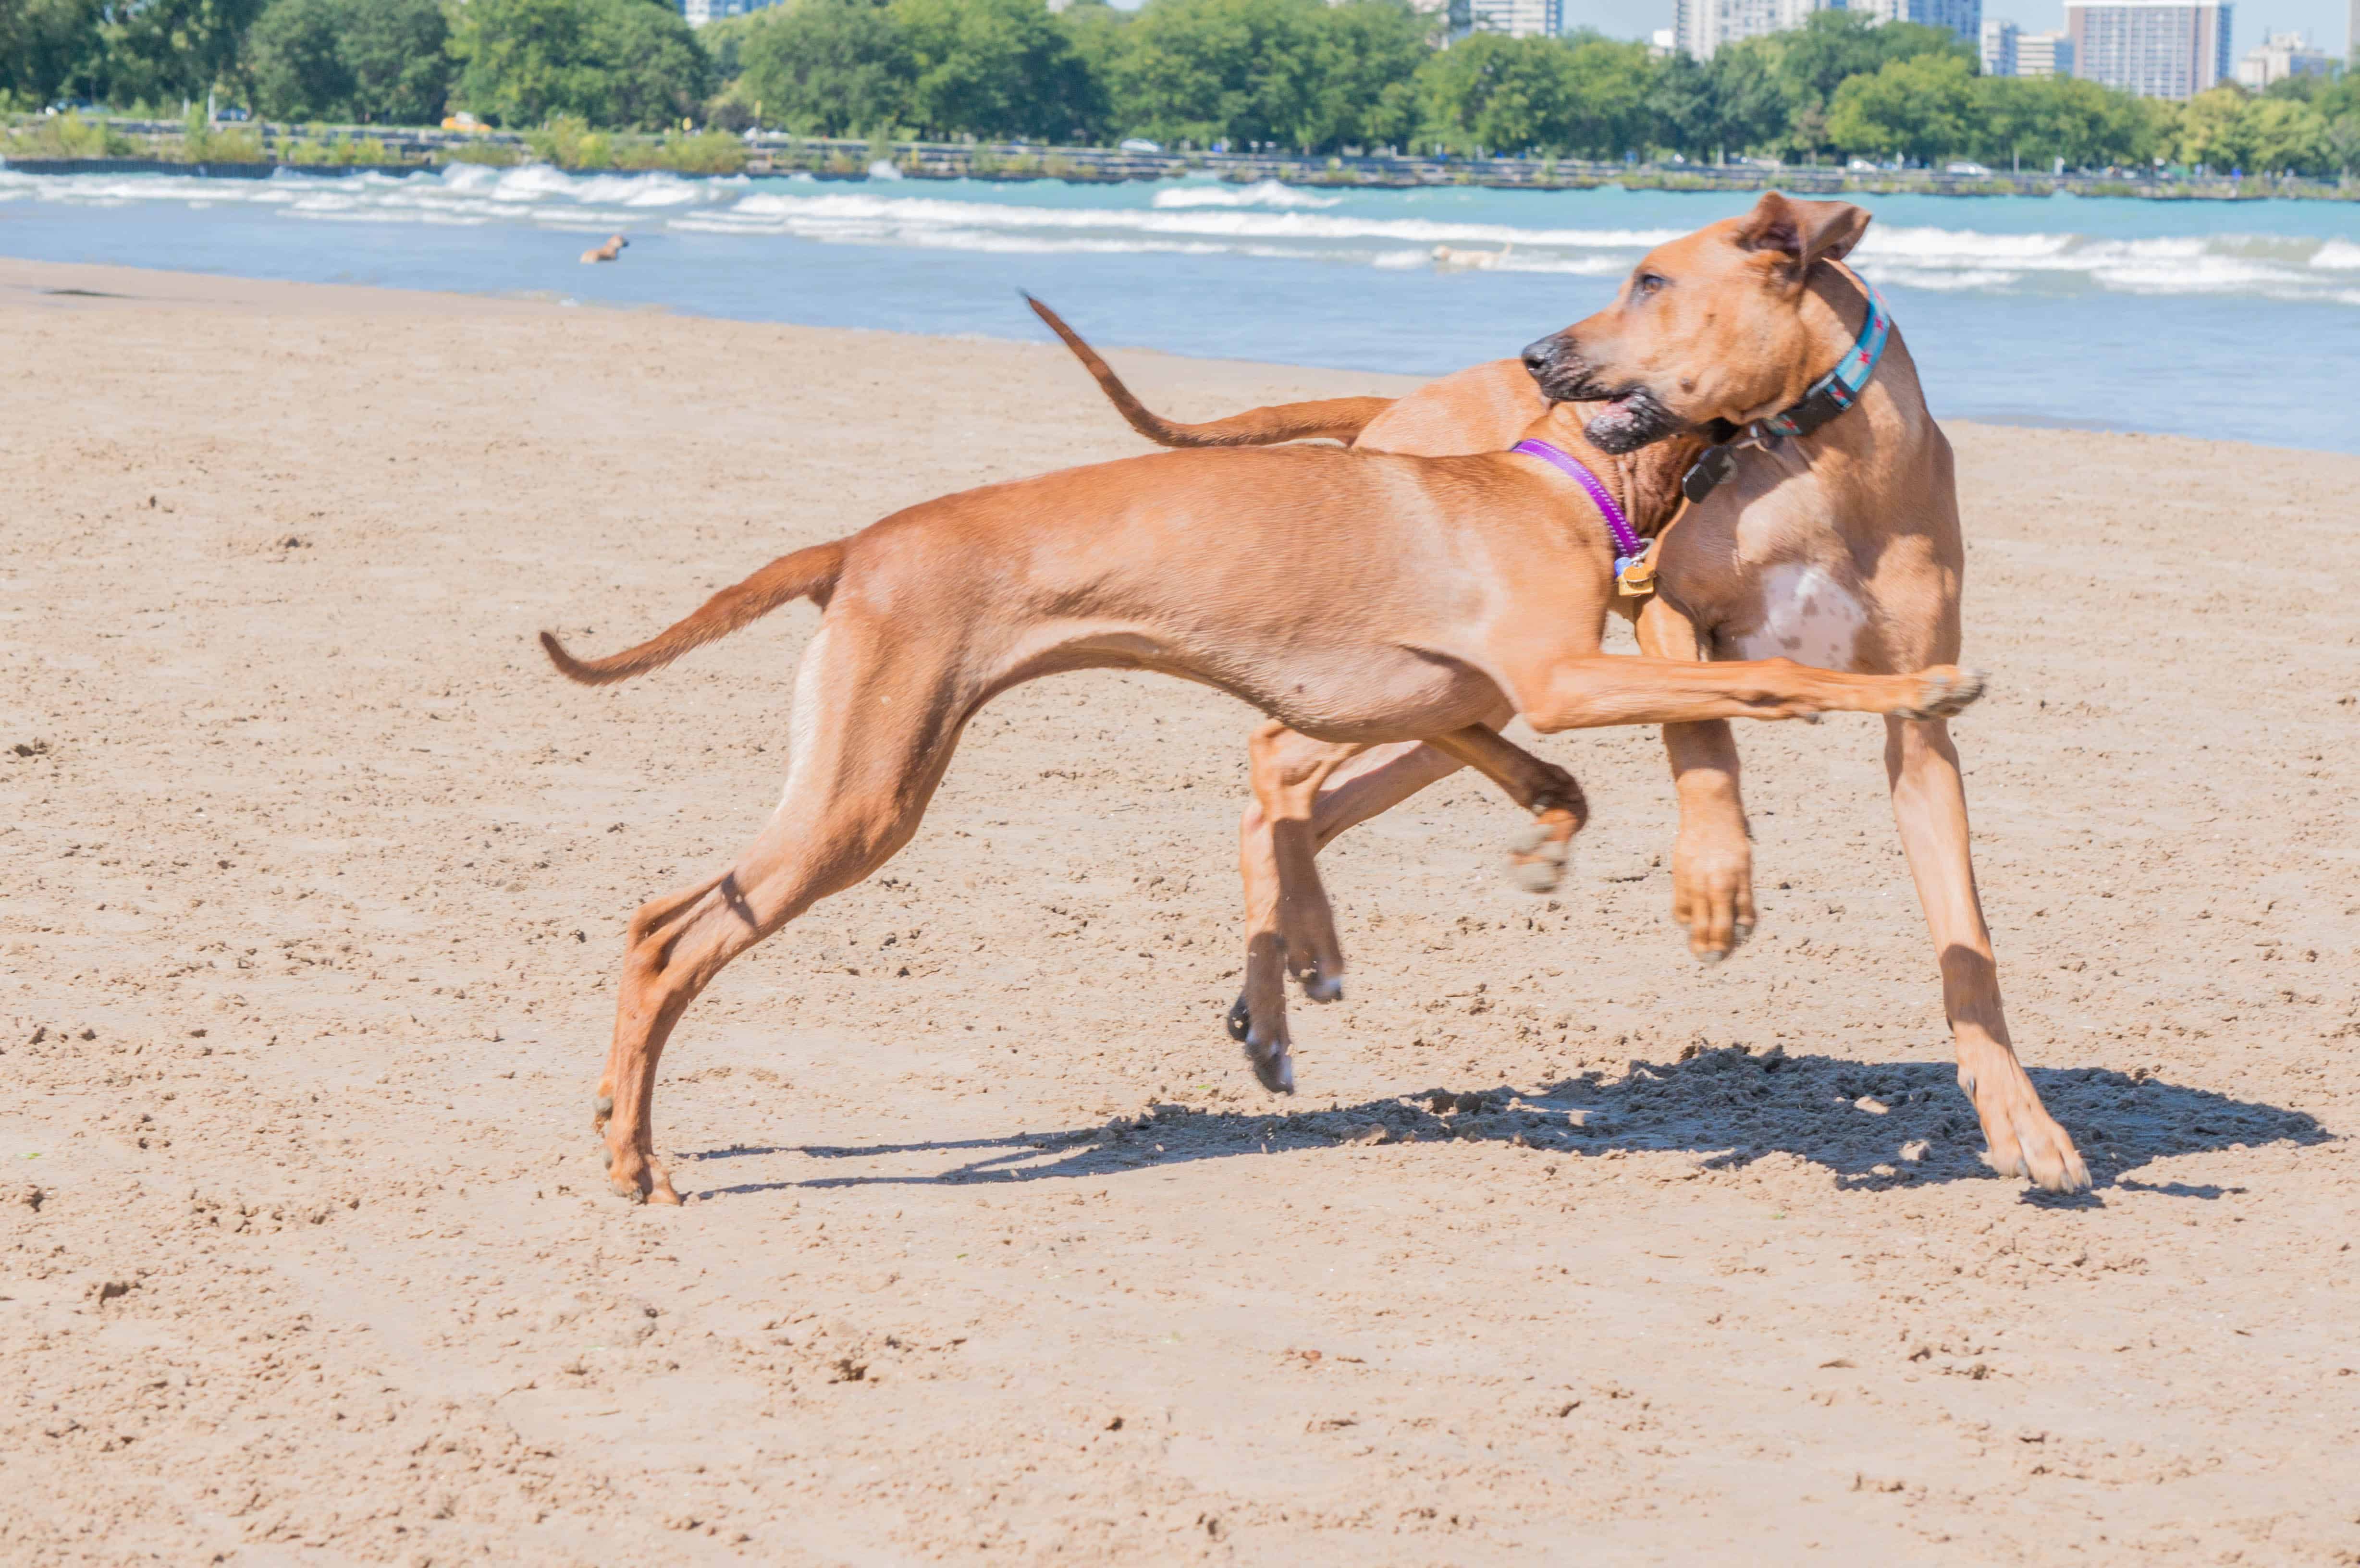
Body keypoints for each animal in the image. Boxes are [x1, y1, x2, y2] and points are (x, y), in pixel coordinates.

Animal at [542, 385, 1982, 1204]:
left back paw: (615, 1111)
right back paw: (634, 1163)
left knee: (653, 918)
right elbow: (1775, 681)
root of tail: (857, 546)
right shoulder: (1563, 677)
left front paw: (1531, 847)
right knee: (677, 942)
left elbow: (1543, 777)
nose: (1809, 418)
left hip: (846, 784)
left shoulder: (1459, 702)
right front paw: (1918, 685)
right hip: (866, 800)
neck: (1553, 477)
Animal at [1033, 190, 2086, 1195]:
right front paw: (1713, 878)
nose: (1534, 357)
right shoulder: (1669, 617)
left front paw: (2021, 1123)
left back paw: (1288, 981)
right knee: (1276, 760)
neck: (1816, 463)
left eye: (1650, 282)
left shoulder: (1919, 742)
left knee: (1299, 799)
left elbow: (1966, 942)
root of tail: (1397, 407)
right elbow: (1708, 738)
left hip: (1457, 691)